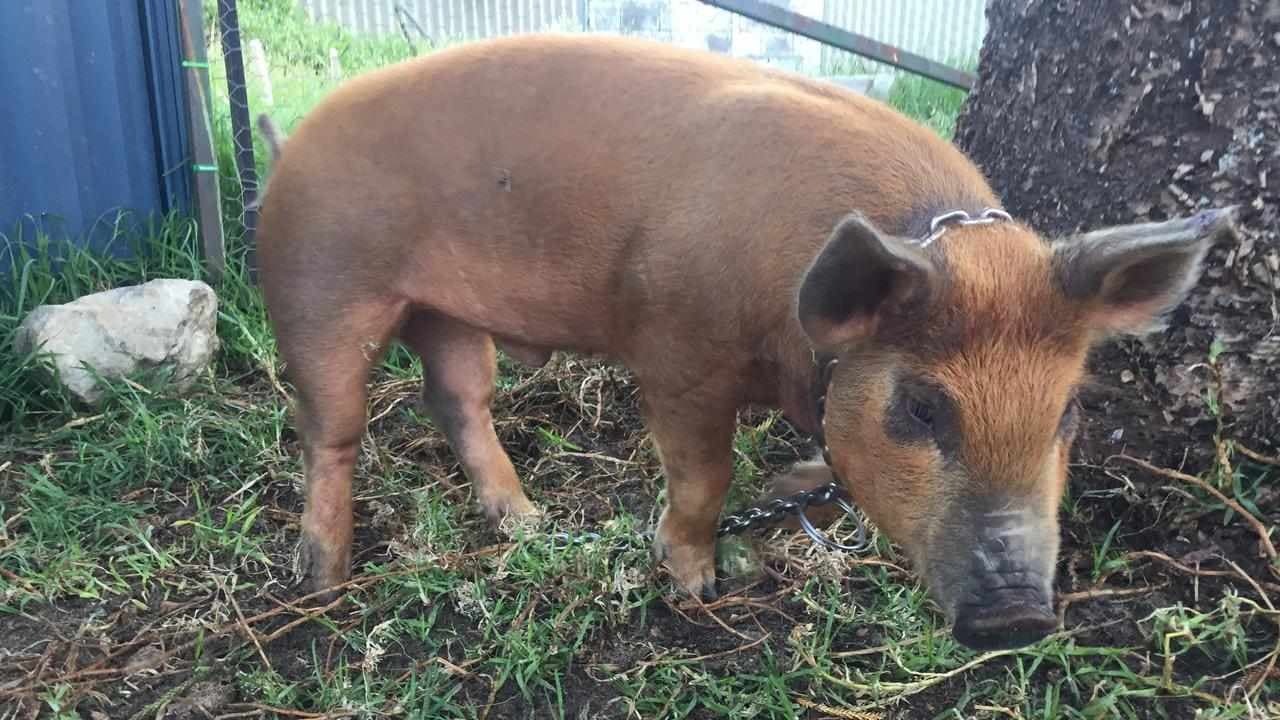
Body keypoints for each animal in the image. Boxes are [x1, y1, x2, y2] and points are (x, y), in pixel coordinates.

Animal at [253, 33, 1236, 651]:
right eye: (921, 407)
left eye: (1067, 411)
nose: (1022, 618)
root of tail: (289, 140)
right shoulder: (678, 354)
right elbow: (703, 475)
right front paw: (698, 585)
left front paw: (786, 497)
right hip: (318, 289)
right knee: (330, 430)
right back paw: (323, 579)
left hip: (446, 317)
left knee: (457, 397)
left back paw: (529, 524)